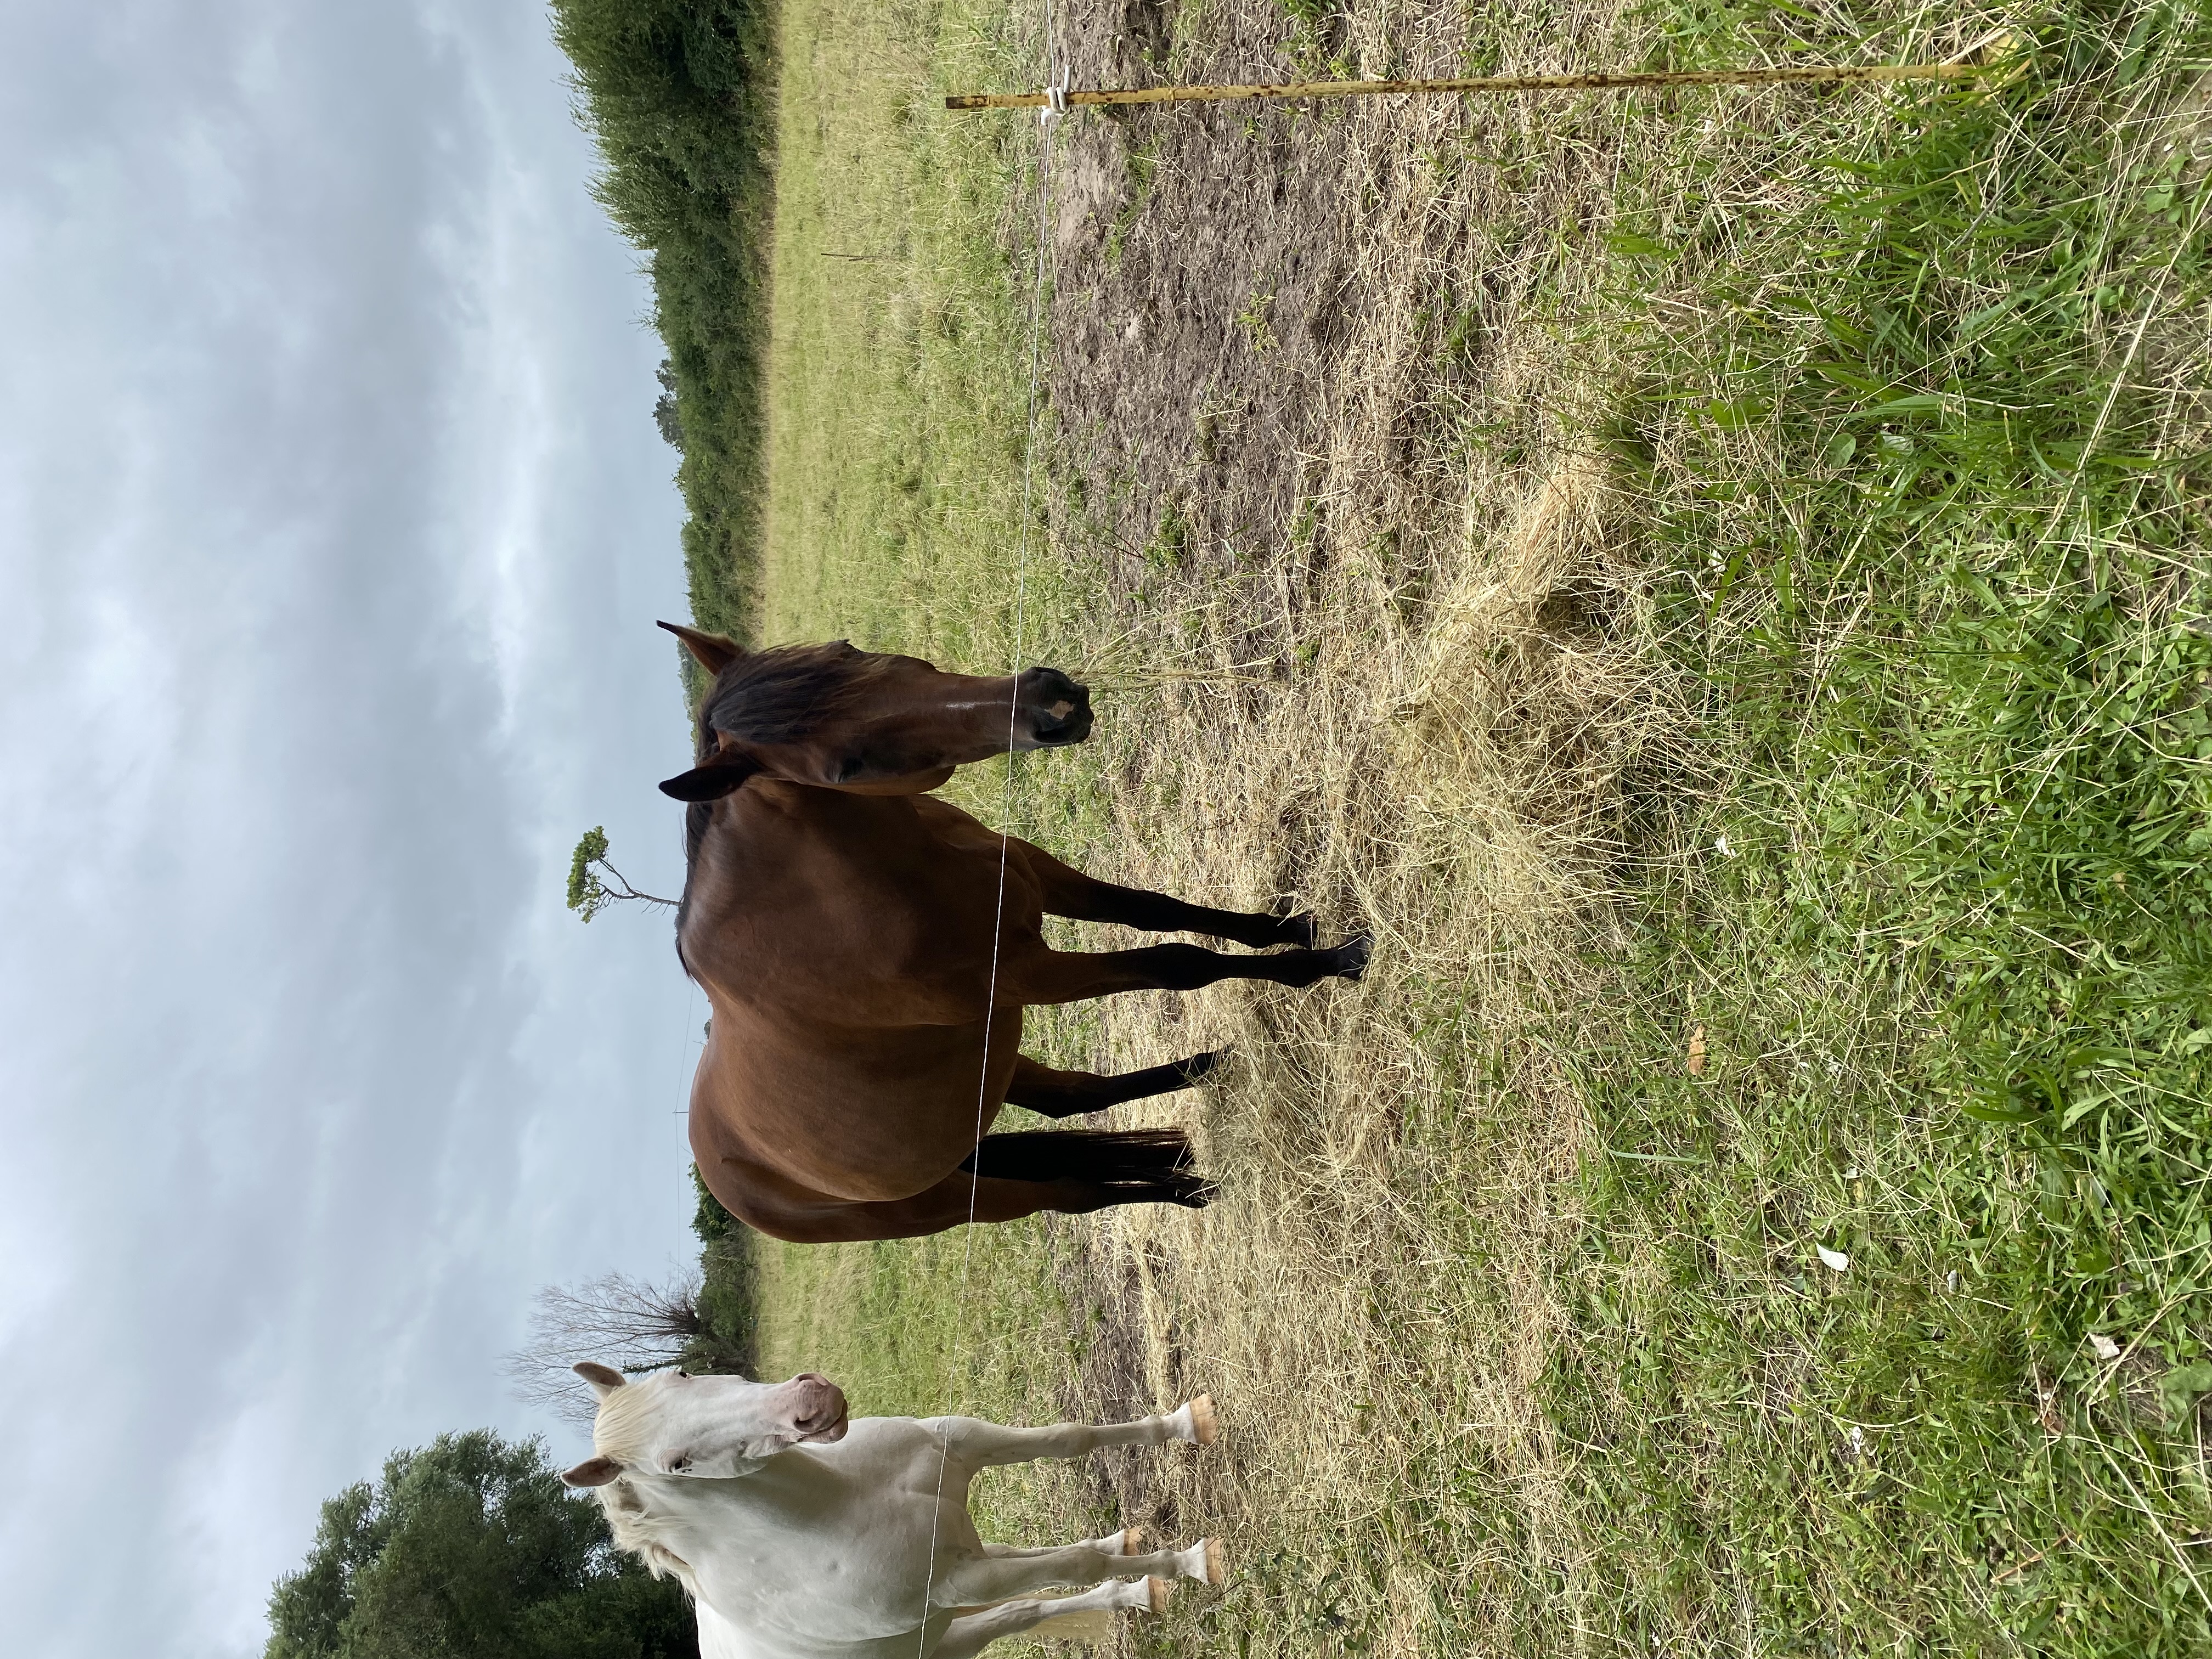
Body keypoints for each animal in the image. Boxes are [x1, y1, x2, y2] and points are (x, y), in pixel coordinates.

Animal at [559, 1362, 1224, 1659]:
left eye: (681, 1374)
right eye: (677, 1463)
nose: (812, 1404)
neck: (840, 1502)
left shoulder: (961, 1442)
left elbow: (1071, 1438)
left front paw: (1188, 1424)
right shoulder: (960, 1581)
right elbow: (1077, 1567)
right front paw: (1193, 1563)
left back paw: (1128, 1561)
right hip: (952, 1632)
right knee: (1028, 1606)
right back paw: (1140, 1586)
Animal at [654, 622, 1370, 1242]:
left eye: (846, 650)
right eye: (848, 766)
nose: (1049, 703)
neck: (847, 893)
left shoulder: (1038, 877)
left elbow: (1157, 910)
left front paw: (1290, 926)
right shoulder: (1032, 976)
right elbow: (1176, 962)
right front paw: (1329, 962)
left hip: (986, 1083)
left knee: (1074, 1100)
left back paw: (1209, 1080)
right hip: (961, 1199)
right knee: (1078, 1191)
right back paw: (1186, 1188)